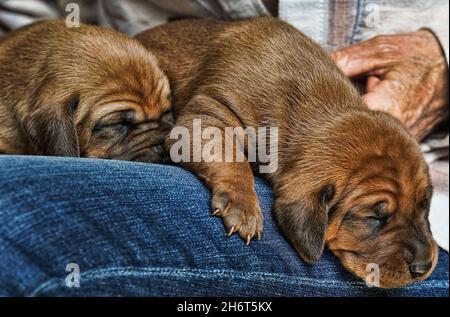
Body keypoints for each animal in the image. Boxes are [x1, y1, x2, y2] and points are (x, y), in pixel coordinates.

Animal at [135, 17, 438, 288]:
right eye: (374, 218)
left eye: (425, 204)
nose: (424, 267)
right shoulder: (207, 117)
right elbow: (233, 160)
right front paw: (243, 205)